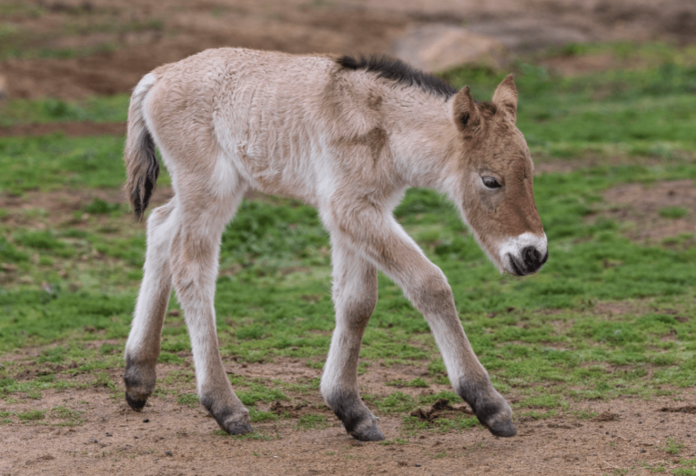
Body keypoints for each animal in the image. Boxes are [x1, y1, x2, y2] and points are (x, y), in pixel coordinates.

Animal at [122, 48, 548, 441]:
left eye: (530, 172)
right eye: (490, 180)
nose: (534, 254)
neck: (382, 125)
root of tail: (159, 75)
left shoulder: (362, 212)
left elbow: (356, 302)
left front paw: (350, 409)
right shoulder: (349, 208)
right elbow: (429, 284)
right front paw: (488, 403)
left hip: (207, 190)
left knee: (160, 226)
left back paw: (138, 377)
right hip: (209, 187)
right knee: (190, 268)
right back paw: (224, 406)